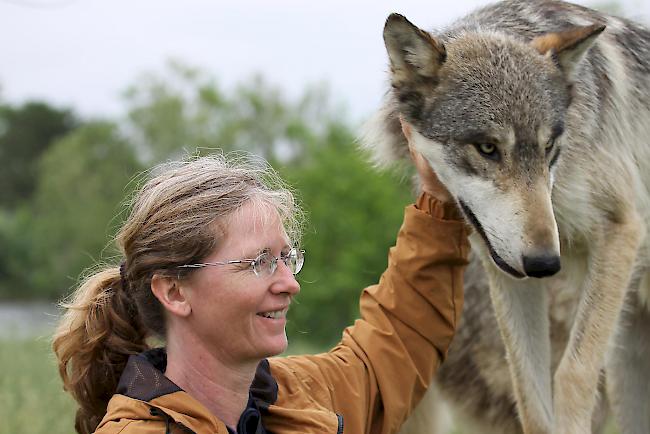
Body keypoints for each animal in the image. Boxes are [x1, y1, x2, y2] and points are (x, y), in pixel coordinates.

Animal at [360, 0, 648, 434]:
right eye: (487, 148)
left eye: (549, 147)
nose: (546, 264)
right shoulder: (509, 273)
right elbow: (530, 401)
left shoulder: (622, 228)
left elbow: (573, 374)